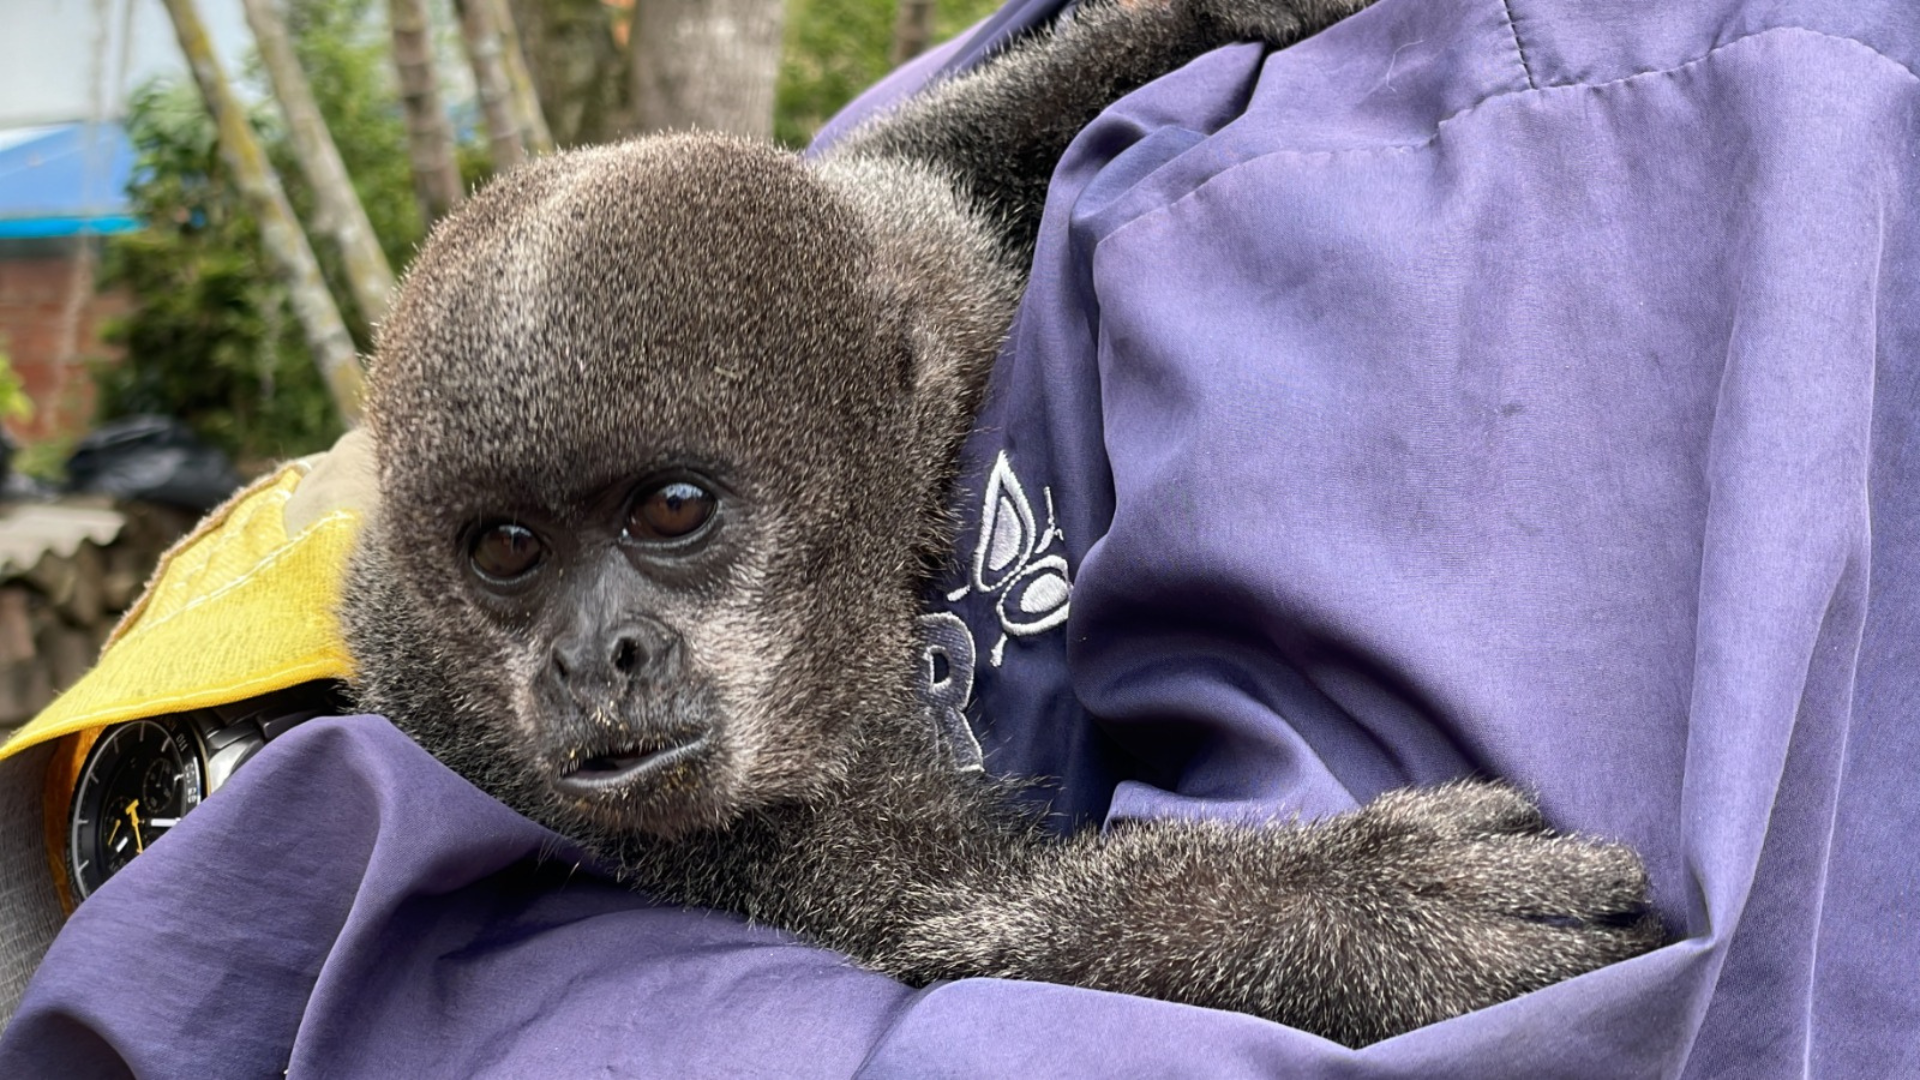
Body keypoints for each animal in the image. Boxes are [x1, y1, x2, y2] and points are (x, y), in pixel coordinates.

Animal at [339, 0, 1665, 1049]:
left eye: (671, 509)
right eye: (506, 550)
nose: (590, 658)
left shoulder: (914, 236)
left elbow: (961, 136)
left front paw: (1212, 10)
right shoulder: (456, 716)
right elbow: (942, 923)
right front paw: (1345, 912)